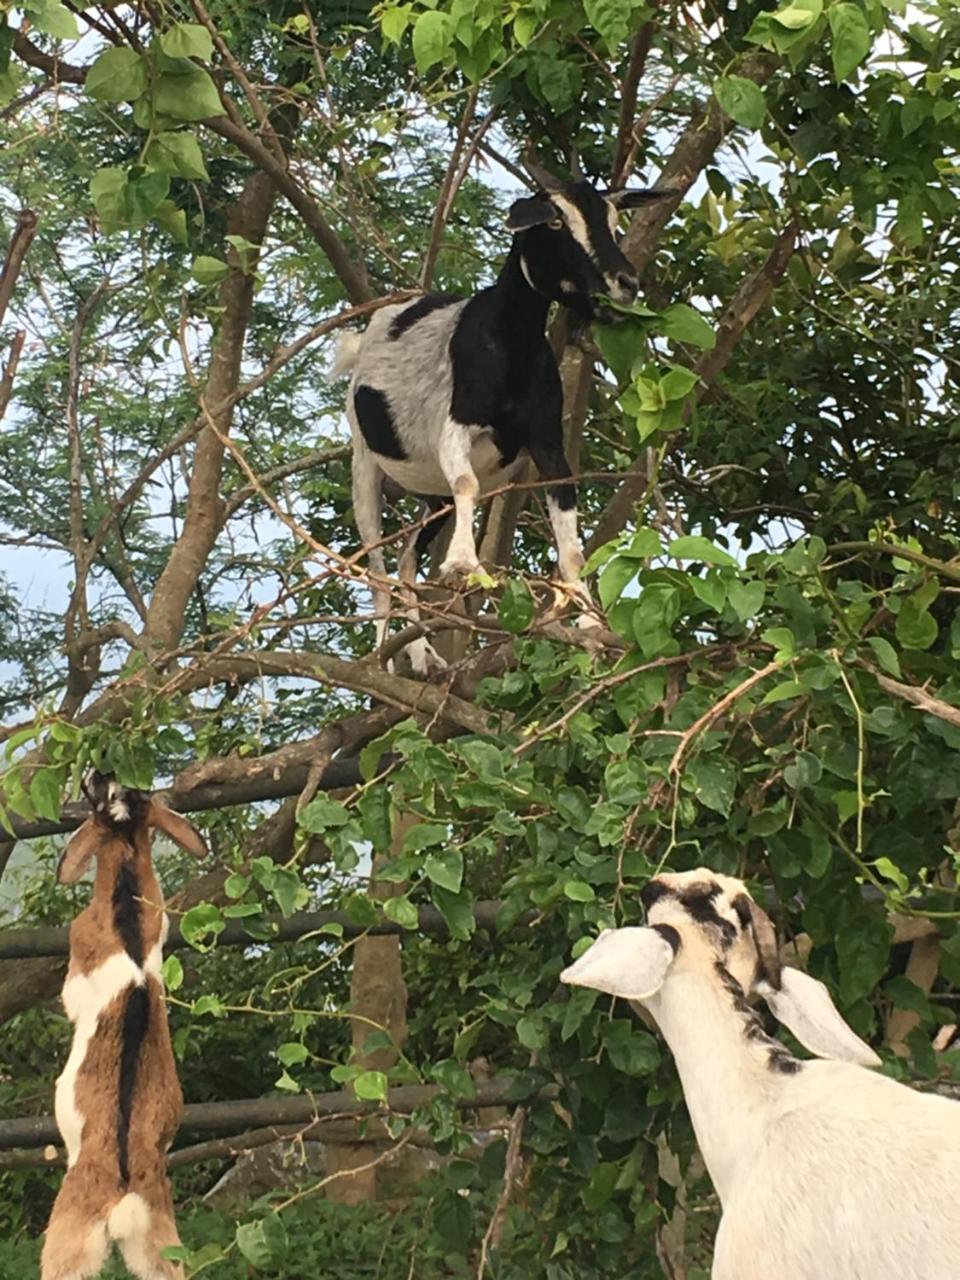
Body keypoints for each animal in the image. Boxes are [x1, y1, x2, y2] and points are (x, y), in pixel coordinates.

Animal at [42, 768, 207, 1280]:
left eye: (99, 793)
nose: (98, 771)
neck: (127, 923)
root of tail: (124, 1196)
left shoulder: (78, 961)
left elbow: (71, 994)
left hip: (68, 1235)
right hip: (161, 1243)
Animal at [340, 157, 675, 670]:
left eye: (614, 220)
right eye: (555, 222)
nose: (626, 282)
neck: (510, 349)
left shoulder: (548, 441)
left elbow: (571, 543)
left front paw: (589, 620)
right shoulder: (454, 428)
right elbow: (468, 483)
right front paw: (464, 563)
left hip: (430, 495)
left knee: (405, 559)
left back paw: (423, 654)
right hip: (364, 461)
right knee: (378, 568)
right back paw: (381, 660)